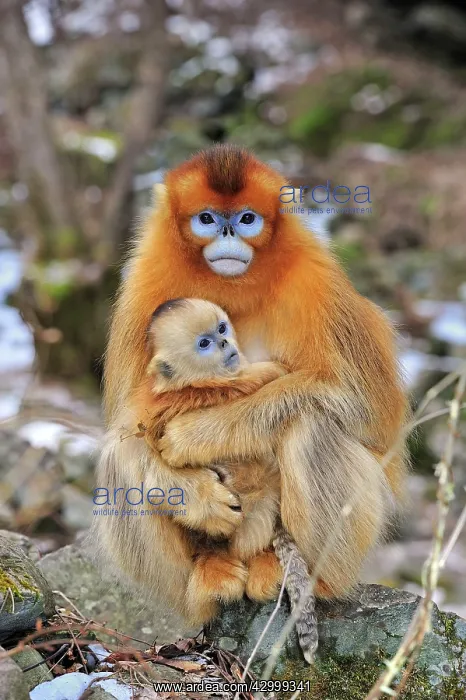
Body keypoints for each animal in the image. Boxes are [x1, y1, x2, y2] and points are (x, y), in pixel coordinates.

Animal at [98, 144, 408, 628]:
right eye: (207, 218)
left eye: (246, 219)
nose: (228, 232)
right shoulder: (144, 286)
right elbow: (127, 427)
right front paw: (198, 497)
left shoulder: (317, 282)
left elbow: (371, 411)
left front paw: (195, 435)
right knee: (118, 456)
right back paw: (209, 577)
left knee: (313, 425)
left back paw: (302, 578)